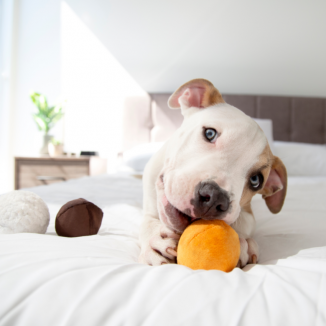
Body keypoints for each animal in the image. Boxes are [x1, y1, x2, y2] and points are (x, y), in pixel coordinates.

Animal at [139, 79, 286, 268]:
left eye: (256, 180)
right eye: (209, 133)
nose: (215, 198)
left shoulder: (247, 212)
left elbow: (244, 222)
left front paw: (242, 242)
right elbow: (147, 221)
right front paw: (154, 241)